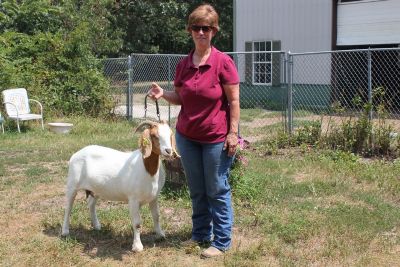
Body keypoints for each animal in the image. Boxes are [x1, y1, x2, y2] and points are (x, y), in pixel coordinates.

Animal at [61, 120, 178, 252]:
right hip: (72, 184)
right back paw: (65, 232)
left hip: (96, 188)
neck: (147, 169)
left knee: (91, 203)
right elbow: (137, 223)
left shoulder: (154, 197)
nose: (168, 151)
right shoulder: (133, 199)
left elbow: (156, 216)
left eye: (170, 134)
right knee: (68, 207)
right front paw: (137, 246)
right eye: (154, 135)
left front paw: (160, 235)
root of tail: (76, 154)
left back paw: (97, 226)